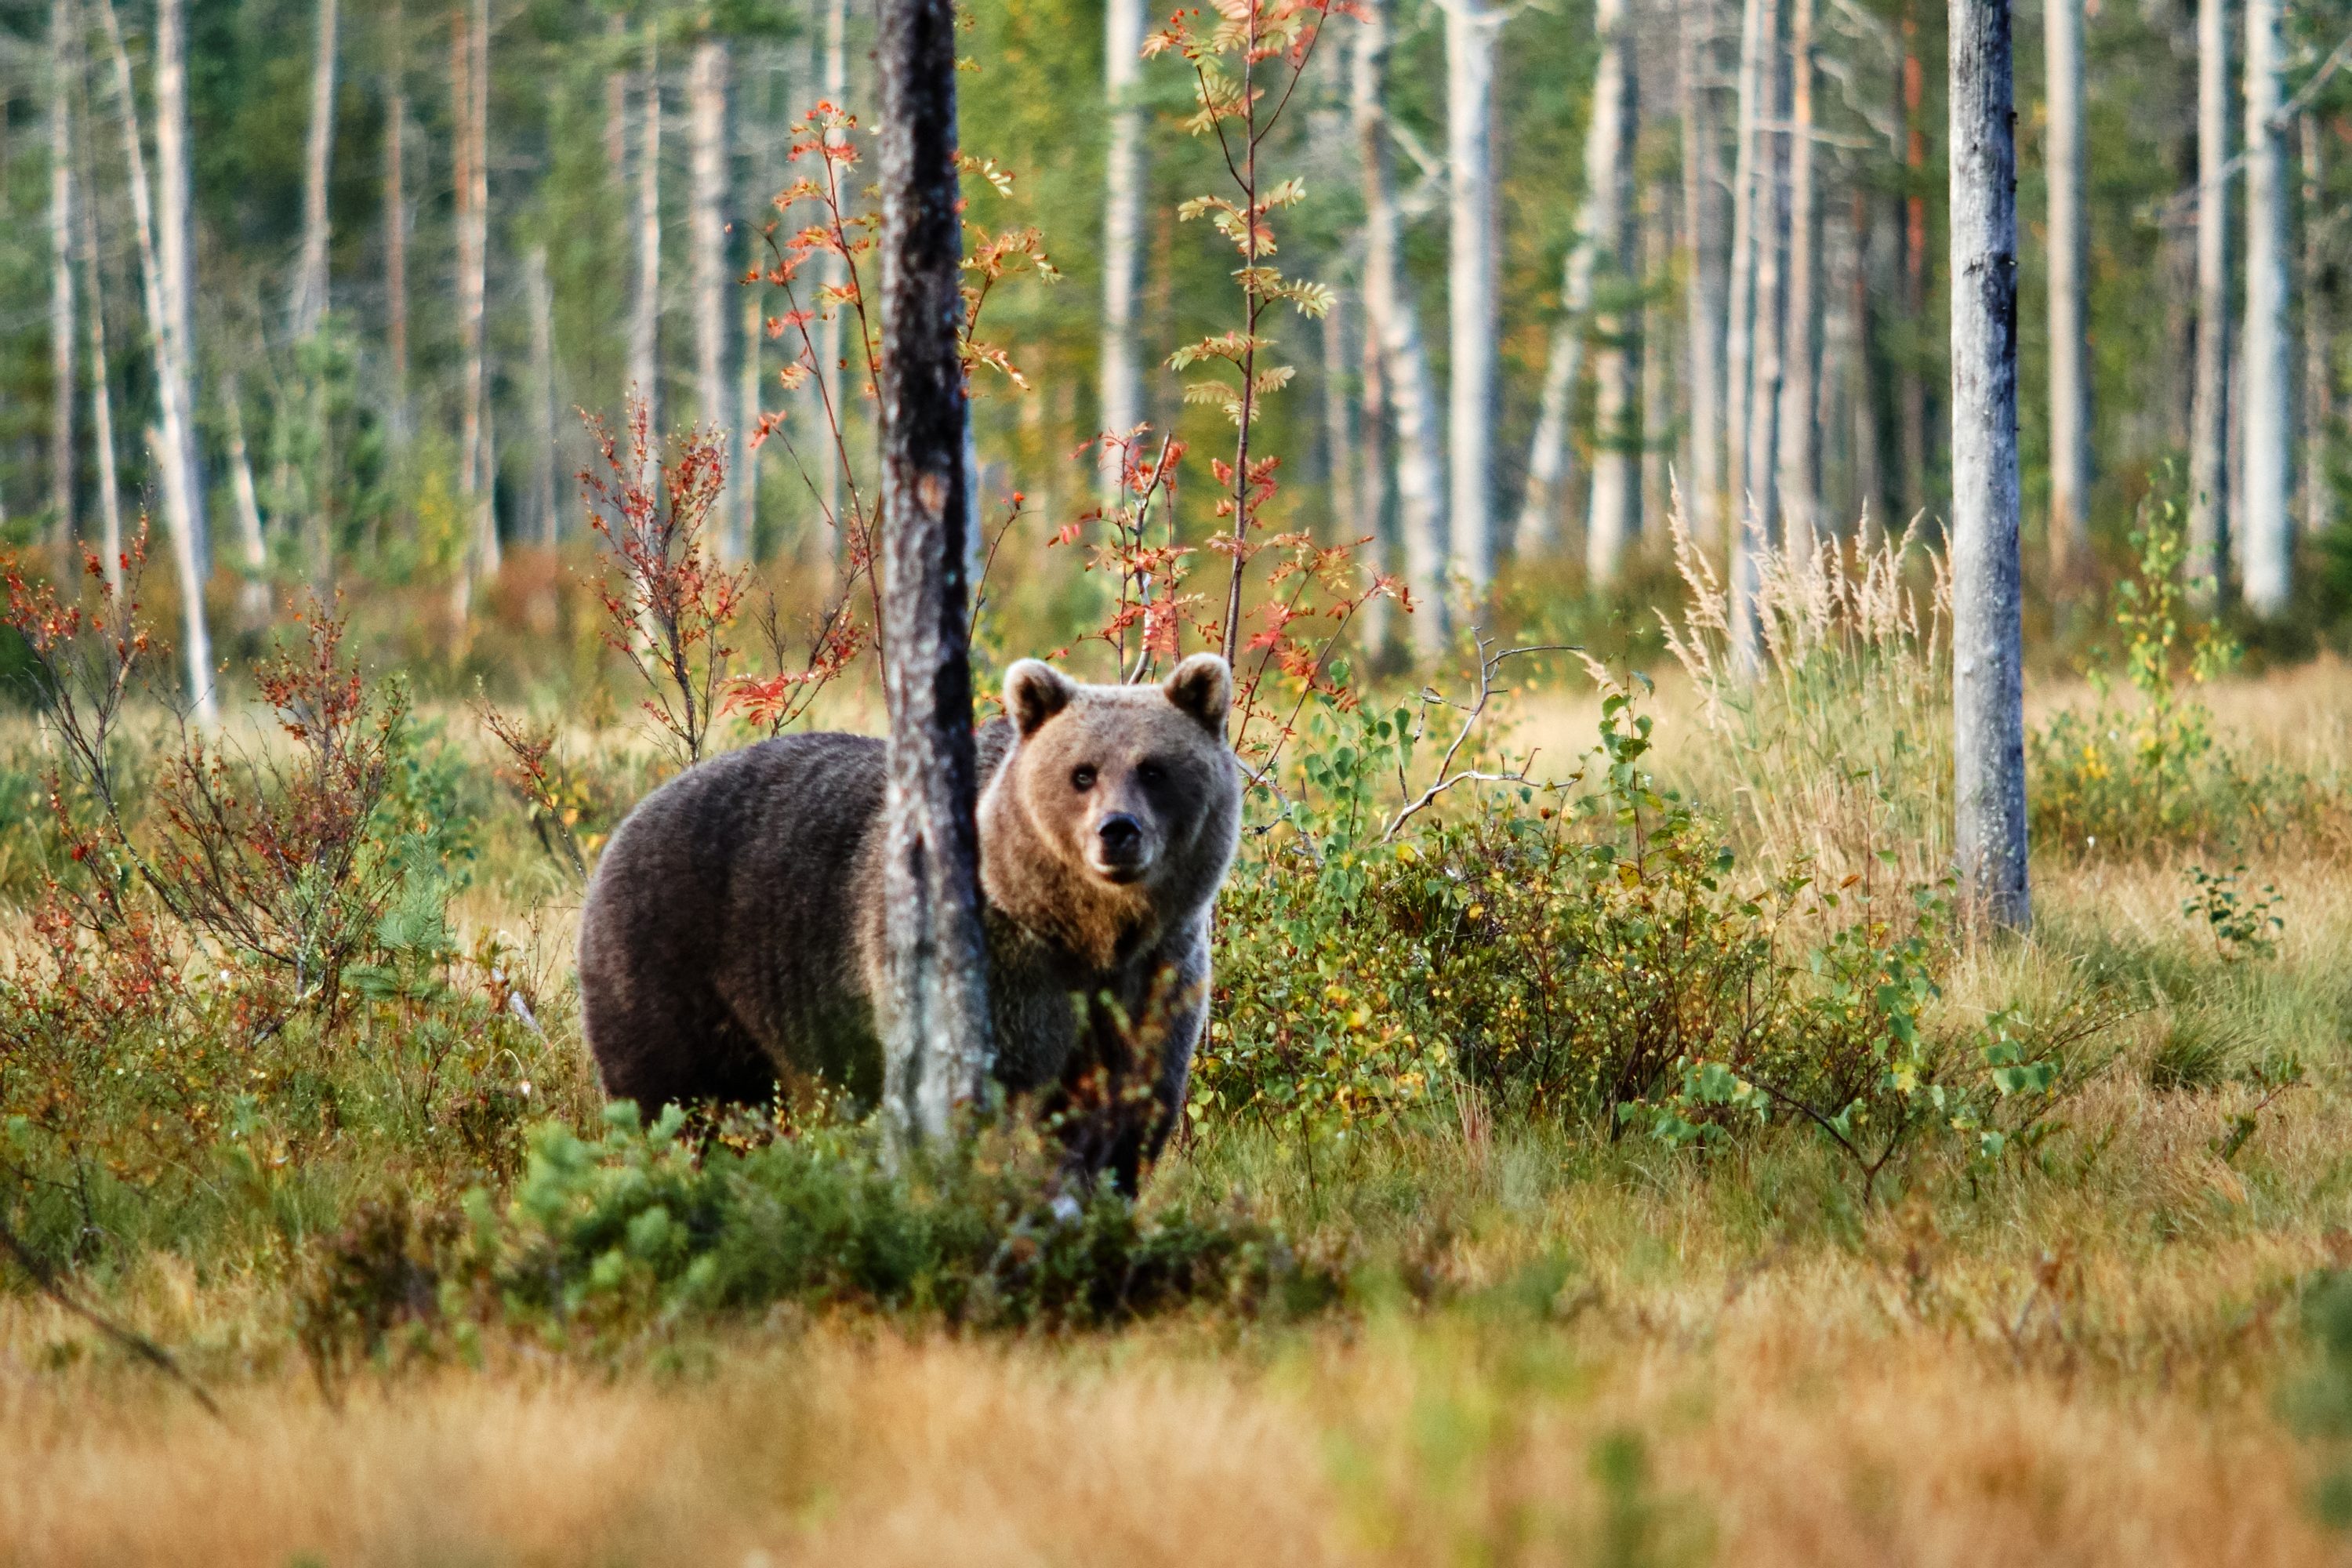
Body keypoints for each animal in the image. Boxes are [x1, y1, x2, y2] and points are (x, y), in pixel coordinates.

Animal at [576, 653, 1242, 1189]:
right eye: (1083, 772)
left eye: (1153, 768)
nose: (1117, 832)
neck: (1085, 932)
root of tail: (626, 822)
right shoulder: (1001, 966)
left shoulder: (1155, 974)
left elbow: (1129, 1101)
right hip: (670, 961)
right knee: (670, 1097)